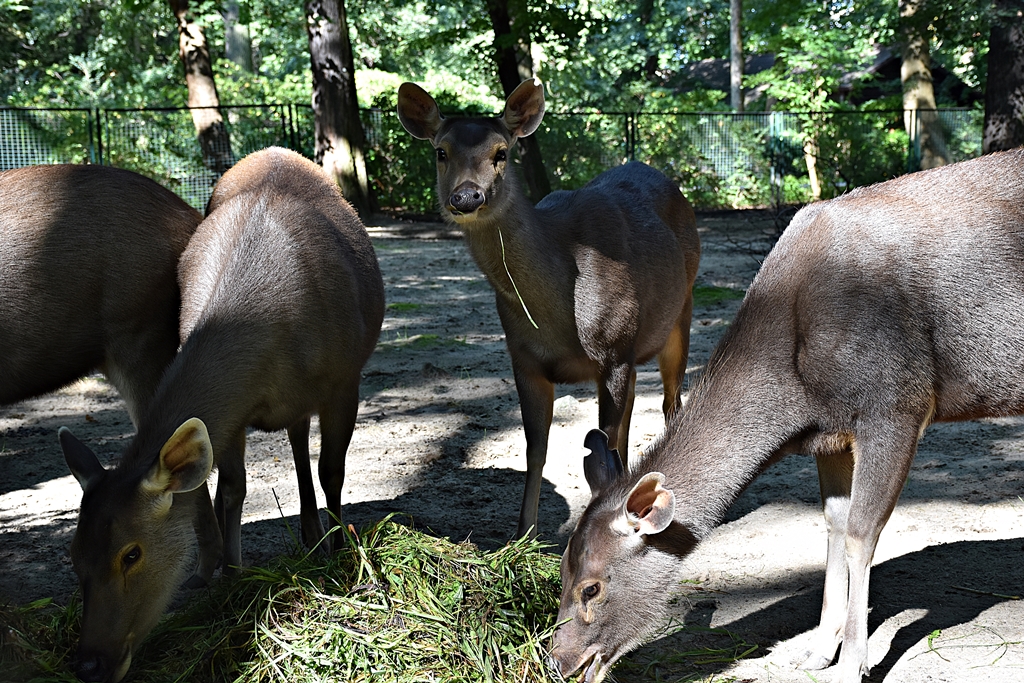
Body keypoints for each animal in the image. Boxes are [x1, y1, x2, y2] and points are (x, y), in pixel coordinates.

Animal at [58, 147, 385, 683]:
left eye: (132, 553)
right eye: (73, 554)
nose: (89, 664)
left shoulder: (344, 380)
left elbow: (333, 470)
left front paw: (341, 553)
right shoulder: (234, 417)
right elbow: (233, 486)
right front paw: (232, 577)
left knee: (306, 451)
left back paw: (317, 535)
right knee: (295, 441)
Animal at [397, 78, 701, 538]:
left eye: (501, 152)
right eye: (440, 151)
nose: (466, 196)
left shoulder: (614, 348)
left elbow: (603, 442)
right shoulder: (525, 359)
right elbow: (535, 448)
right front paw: (522, 535)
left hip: (680, 310)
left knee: (669, 404)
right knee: (630, 419)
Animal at [551, 147, 1024, 683]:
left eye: (592, 587)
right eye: (560, 572)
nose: (559, 661)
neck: (797, 395)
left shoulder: (896, 404)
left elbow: (861, 533)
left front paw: (852, 664)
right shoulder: (832, 435)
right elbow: (834, 524)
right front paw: (817, 651)